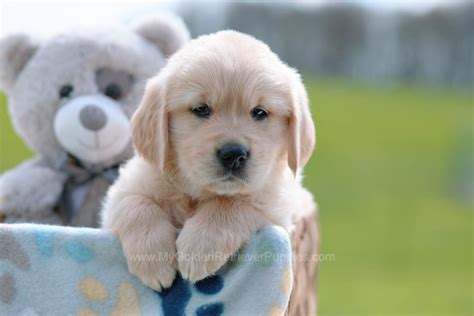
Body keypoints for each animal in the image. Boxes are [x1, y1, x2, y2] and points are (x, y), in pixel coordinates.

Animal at [100, 30, 314, 292]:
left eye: (260, 112)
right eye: (201, 109)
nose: (234, 155)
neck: (196, 194)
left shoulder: (277, 207)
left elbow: (232, 204)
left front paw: (199, 248)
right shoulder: (121, 195)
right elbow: (134, 202)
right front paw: (153, 260)